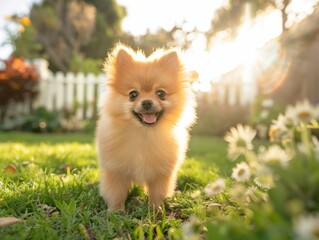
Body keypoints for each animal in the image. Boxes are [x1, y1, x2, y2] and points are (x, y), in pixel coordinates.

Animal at [96, 43, 198, 210]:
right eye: (133, 94)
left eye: (161, 94)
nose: (147, 102)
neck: (144, 134)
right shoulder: (116, 171)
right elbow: (116, 193)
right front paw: (116, 211)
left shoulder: (161, 173)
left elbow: (157, 192)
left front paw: (156, 209)